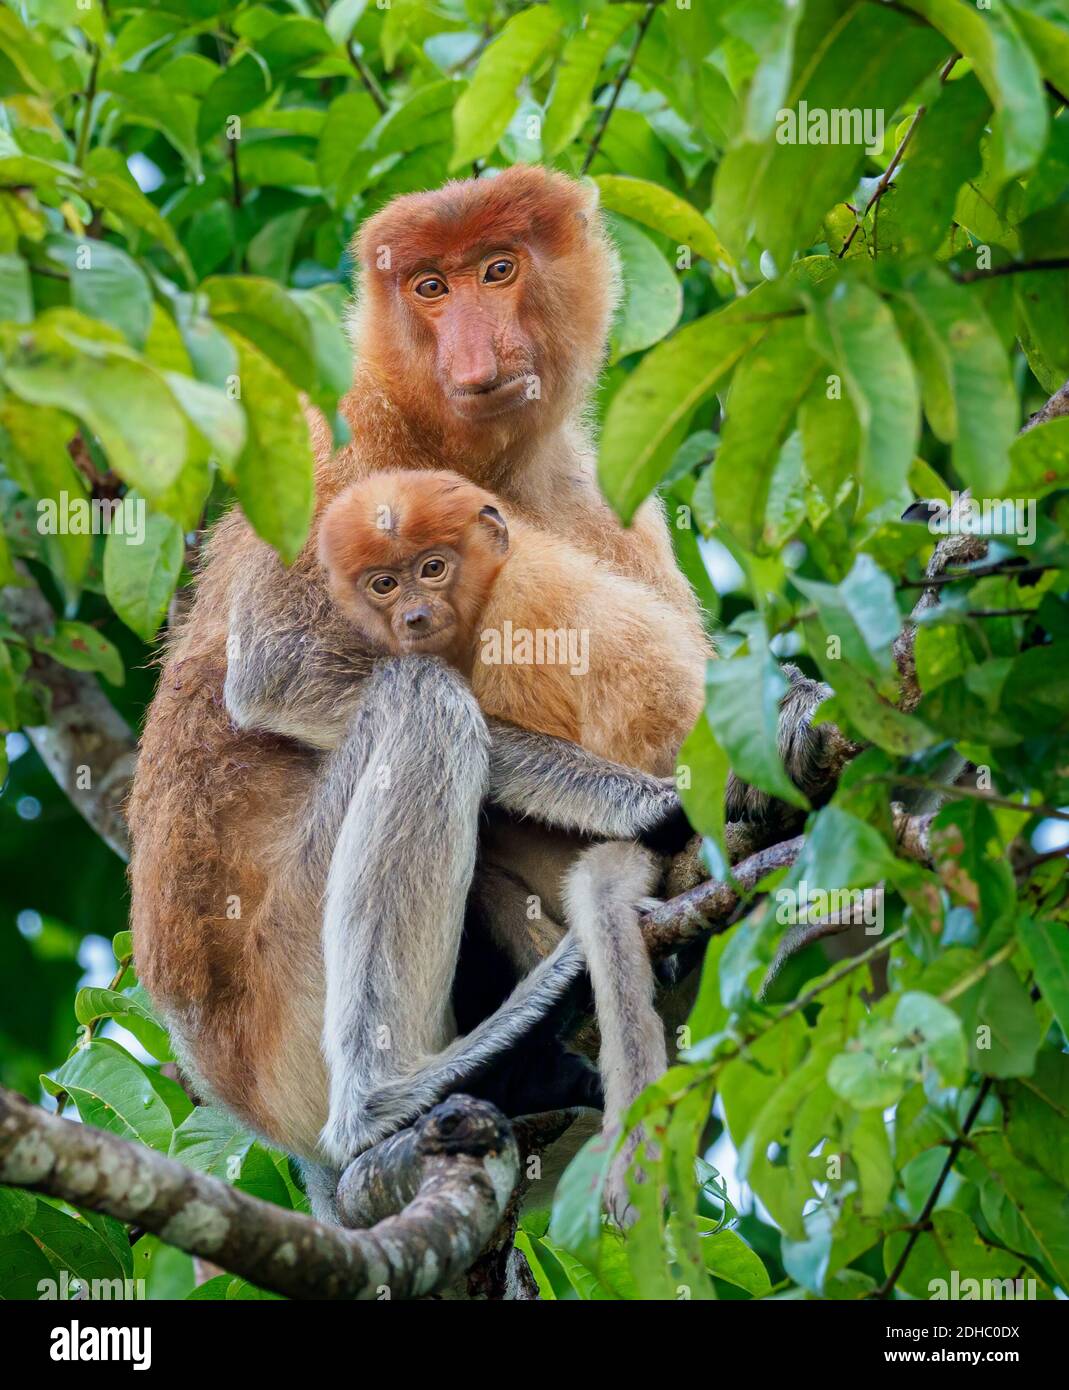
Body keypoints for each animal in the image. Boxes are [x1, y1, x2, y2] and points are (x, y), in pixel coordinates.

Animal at [131, 168, 822, 1217]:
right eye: (429, 287)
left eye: (497, 270)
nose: (473, 348)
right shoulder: (339, 439)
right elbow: (283, 670)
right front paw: (657, 806)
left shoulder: (594, 490)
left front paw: (784, 714)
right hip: (281, 1011)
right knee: (423, 705)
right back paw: (400, 1095)